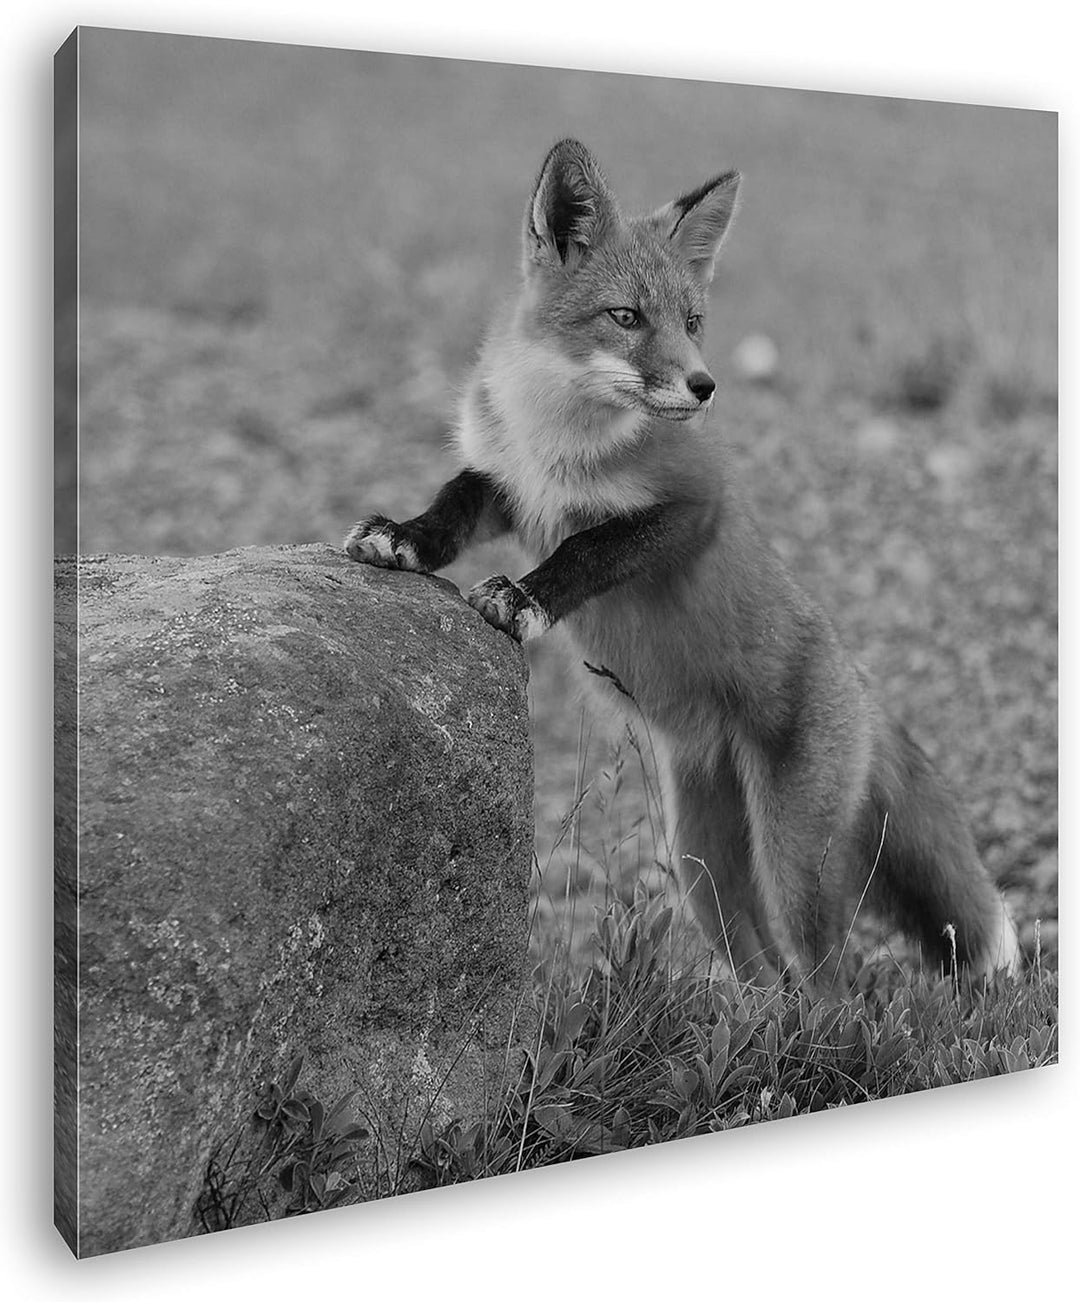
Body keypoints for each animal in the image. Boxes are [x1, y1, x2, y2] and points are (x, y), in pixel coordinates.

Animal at [344, 138, 1021, 986]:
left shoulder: (694, 504)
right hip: (701, 866)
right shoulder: (508, 483)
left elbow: (588, 547)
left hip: (793, 867)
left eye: (693, 322)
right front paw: (401, 540)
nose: (704, 386)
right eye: (627, 317)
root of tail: (858, 683)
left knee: (831, 982)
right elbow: (452, 504)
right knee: (769, 976)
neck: (557, 435)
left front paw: (523, 600)